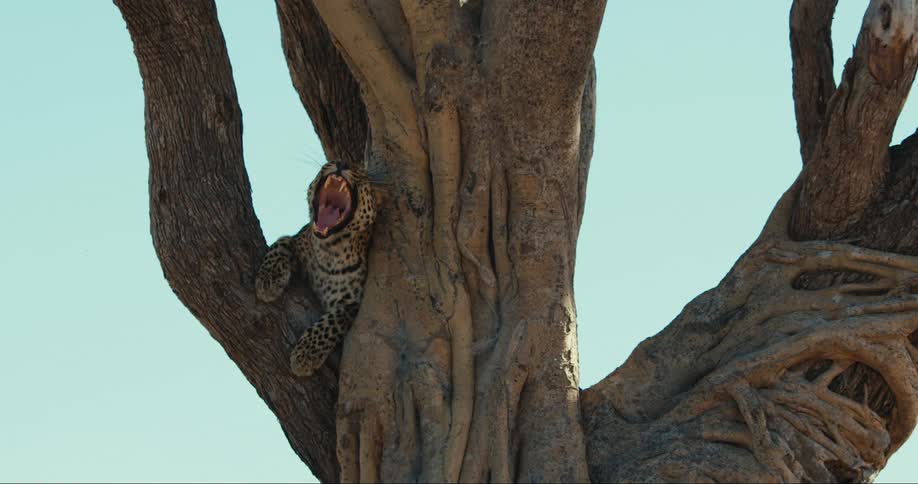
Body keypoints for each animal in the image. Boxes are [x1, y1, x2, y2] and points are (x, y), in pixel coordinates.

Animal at [255, 160, 377, 377]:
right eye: (331, 162)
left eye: (360, 173)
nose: (341, 163)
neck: (329, 250)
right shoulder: (299, 239)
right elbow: (282, 243)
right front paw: (268, 281)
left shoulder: (354, 303)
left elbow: (332, 322)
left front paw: (305, 355)